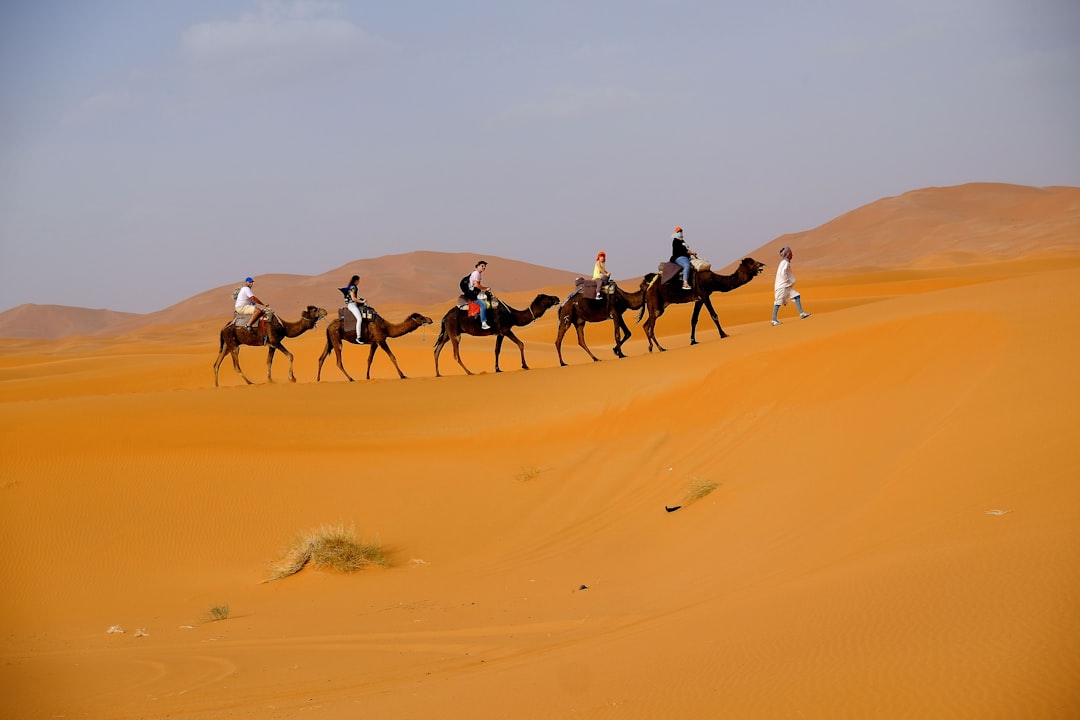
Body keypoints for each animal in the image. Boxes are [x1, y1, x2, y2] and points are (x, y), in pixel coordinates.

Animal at [630, 257, 768, 354]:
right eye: (751, 262)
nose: (762, 264)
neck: (713, 280)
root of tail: (647, 287)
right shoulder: (705, 295)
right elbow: (714, 315)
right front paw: (724, 334)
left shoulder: (699, 300)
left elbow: (694, 320)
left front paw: (693, 341)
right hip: (655, 304)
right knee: (650, 327)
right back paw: (661, 348)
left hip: (659, 306)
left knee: (646, 325)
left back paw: (651, 348)